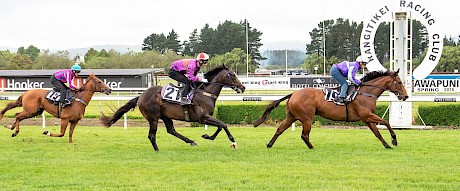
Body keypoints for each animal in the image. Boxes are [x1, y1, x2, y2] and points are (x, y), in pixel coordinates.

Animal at [99, 65, 246, 151]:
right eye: (233, 75)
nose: (243, 87)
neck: (206, 93)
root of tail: (141, 96)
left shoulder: (206, 117)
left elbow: (220, 126)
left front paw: (207, 136)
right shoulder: (203, 118)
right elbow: (223, 124)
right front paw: (233, 142)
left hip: (165, 116)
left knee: (171, 130)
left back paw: (191, 141)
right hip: (153, 118)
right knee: (151, 135)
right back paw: (157, 150)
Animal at [255, 70, 410, 149]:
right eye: (399, 82)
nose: (406, 96)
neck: (366, 92)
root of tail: (293, 93)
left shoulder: (367, 118)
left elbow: (377, 133)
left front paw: (387, 145)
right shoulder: (367, 115)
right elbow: (386, 122)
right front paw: (394, 140)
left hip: (291, 116)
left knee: (280, 129)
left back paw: (269, 144)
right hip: (307, 118)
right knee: (304, 135)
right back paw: (312, 147)